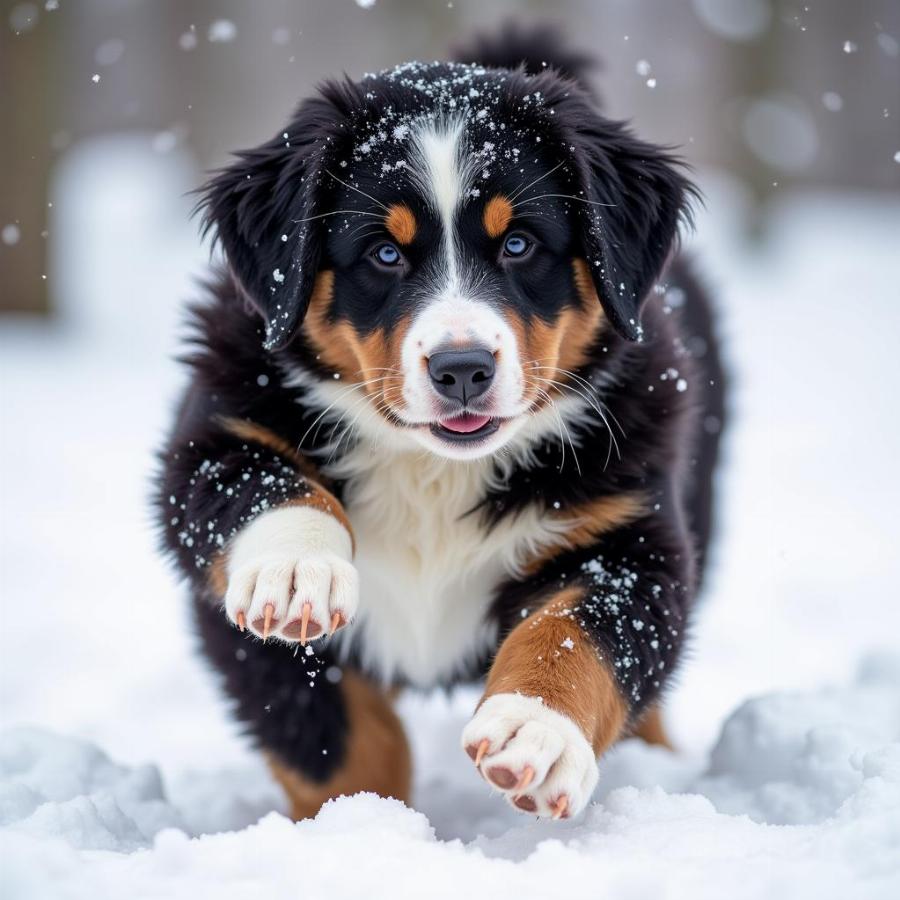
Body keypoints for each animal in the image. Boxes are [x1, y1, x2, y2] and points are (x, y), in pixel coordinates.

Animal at [158, 22, 728, 824]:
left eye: (518, 244)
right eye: (384, 253)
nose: (462, 368)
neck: (432, 472)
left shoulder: (629, 536)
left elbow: (580, 633)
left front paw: (536, 730)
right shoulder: (214, 436)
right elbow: (336, 735)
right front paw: (297, 572)